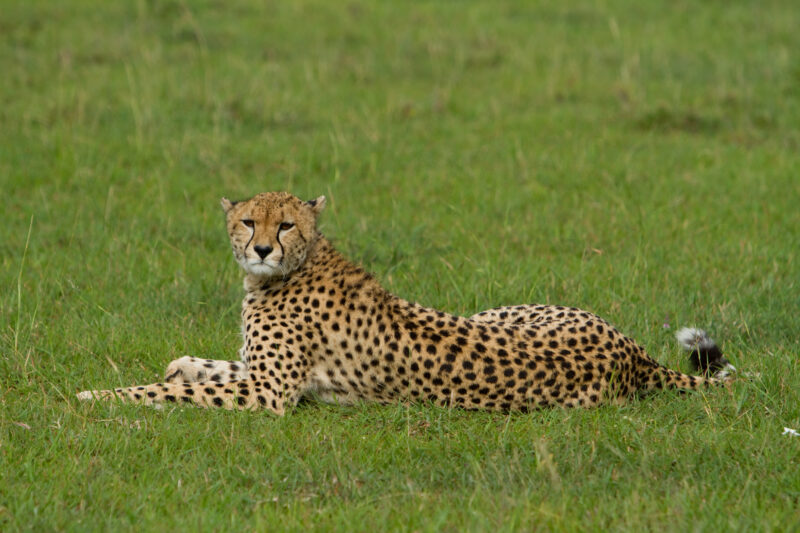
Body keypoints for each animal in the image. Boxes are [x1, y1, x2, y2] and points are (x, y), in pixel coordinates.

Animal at [77, 191, 735, 414]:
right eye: (247, 220)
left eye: (285, 224)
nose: (261, 248)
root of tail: (635, 356)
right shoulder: (265, 376)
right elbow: (205, 368)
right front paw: (179, 365)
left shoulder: (269, 394)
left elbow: (167, 393)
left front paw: (93, 398)